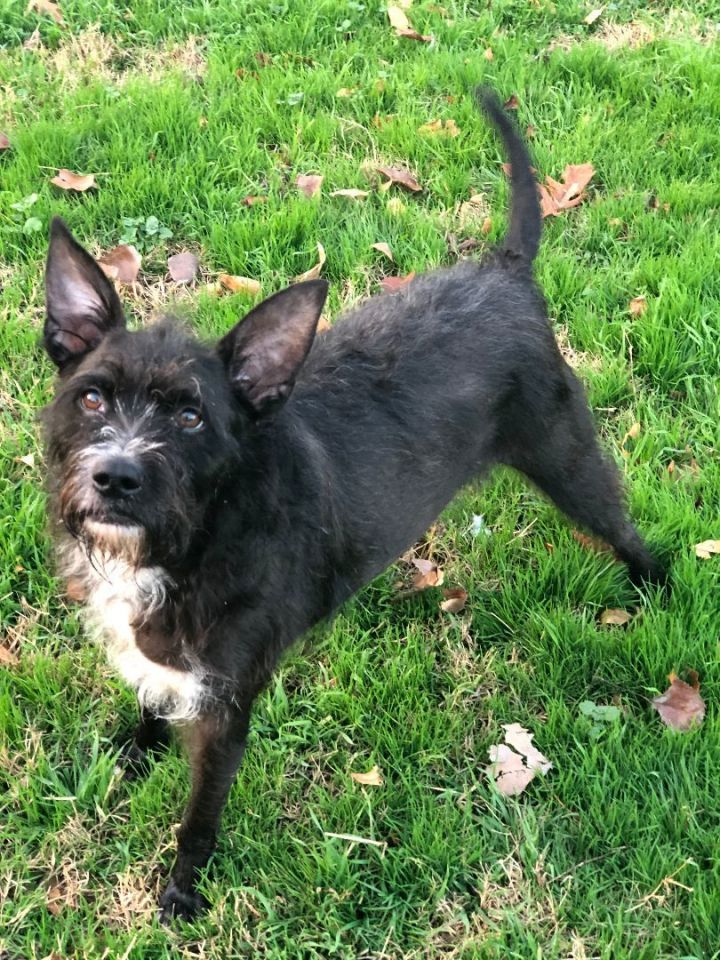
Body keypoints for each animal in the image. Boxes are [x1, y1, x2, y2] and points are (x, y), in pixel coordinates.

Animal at [42, 92, 668, 924]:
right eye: (91, 397)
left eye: (191, 417)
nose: (115, 477)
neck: (201, 537)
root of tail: (505, 273)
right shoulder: (166, 662)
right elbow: (150, 696)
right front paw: (137, 753)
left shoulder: (226, 711)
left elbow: (199, 818)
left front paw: (180, 892)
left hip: (569, 458)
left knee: (627, 529)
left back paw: (657, 590)